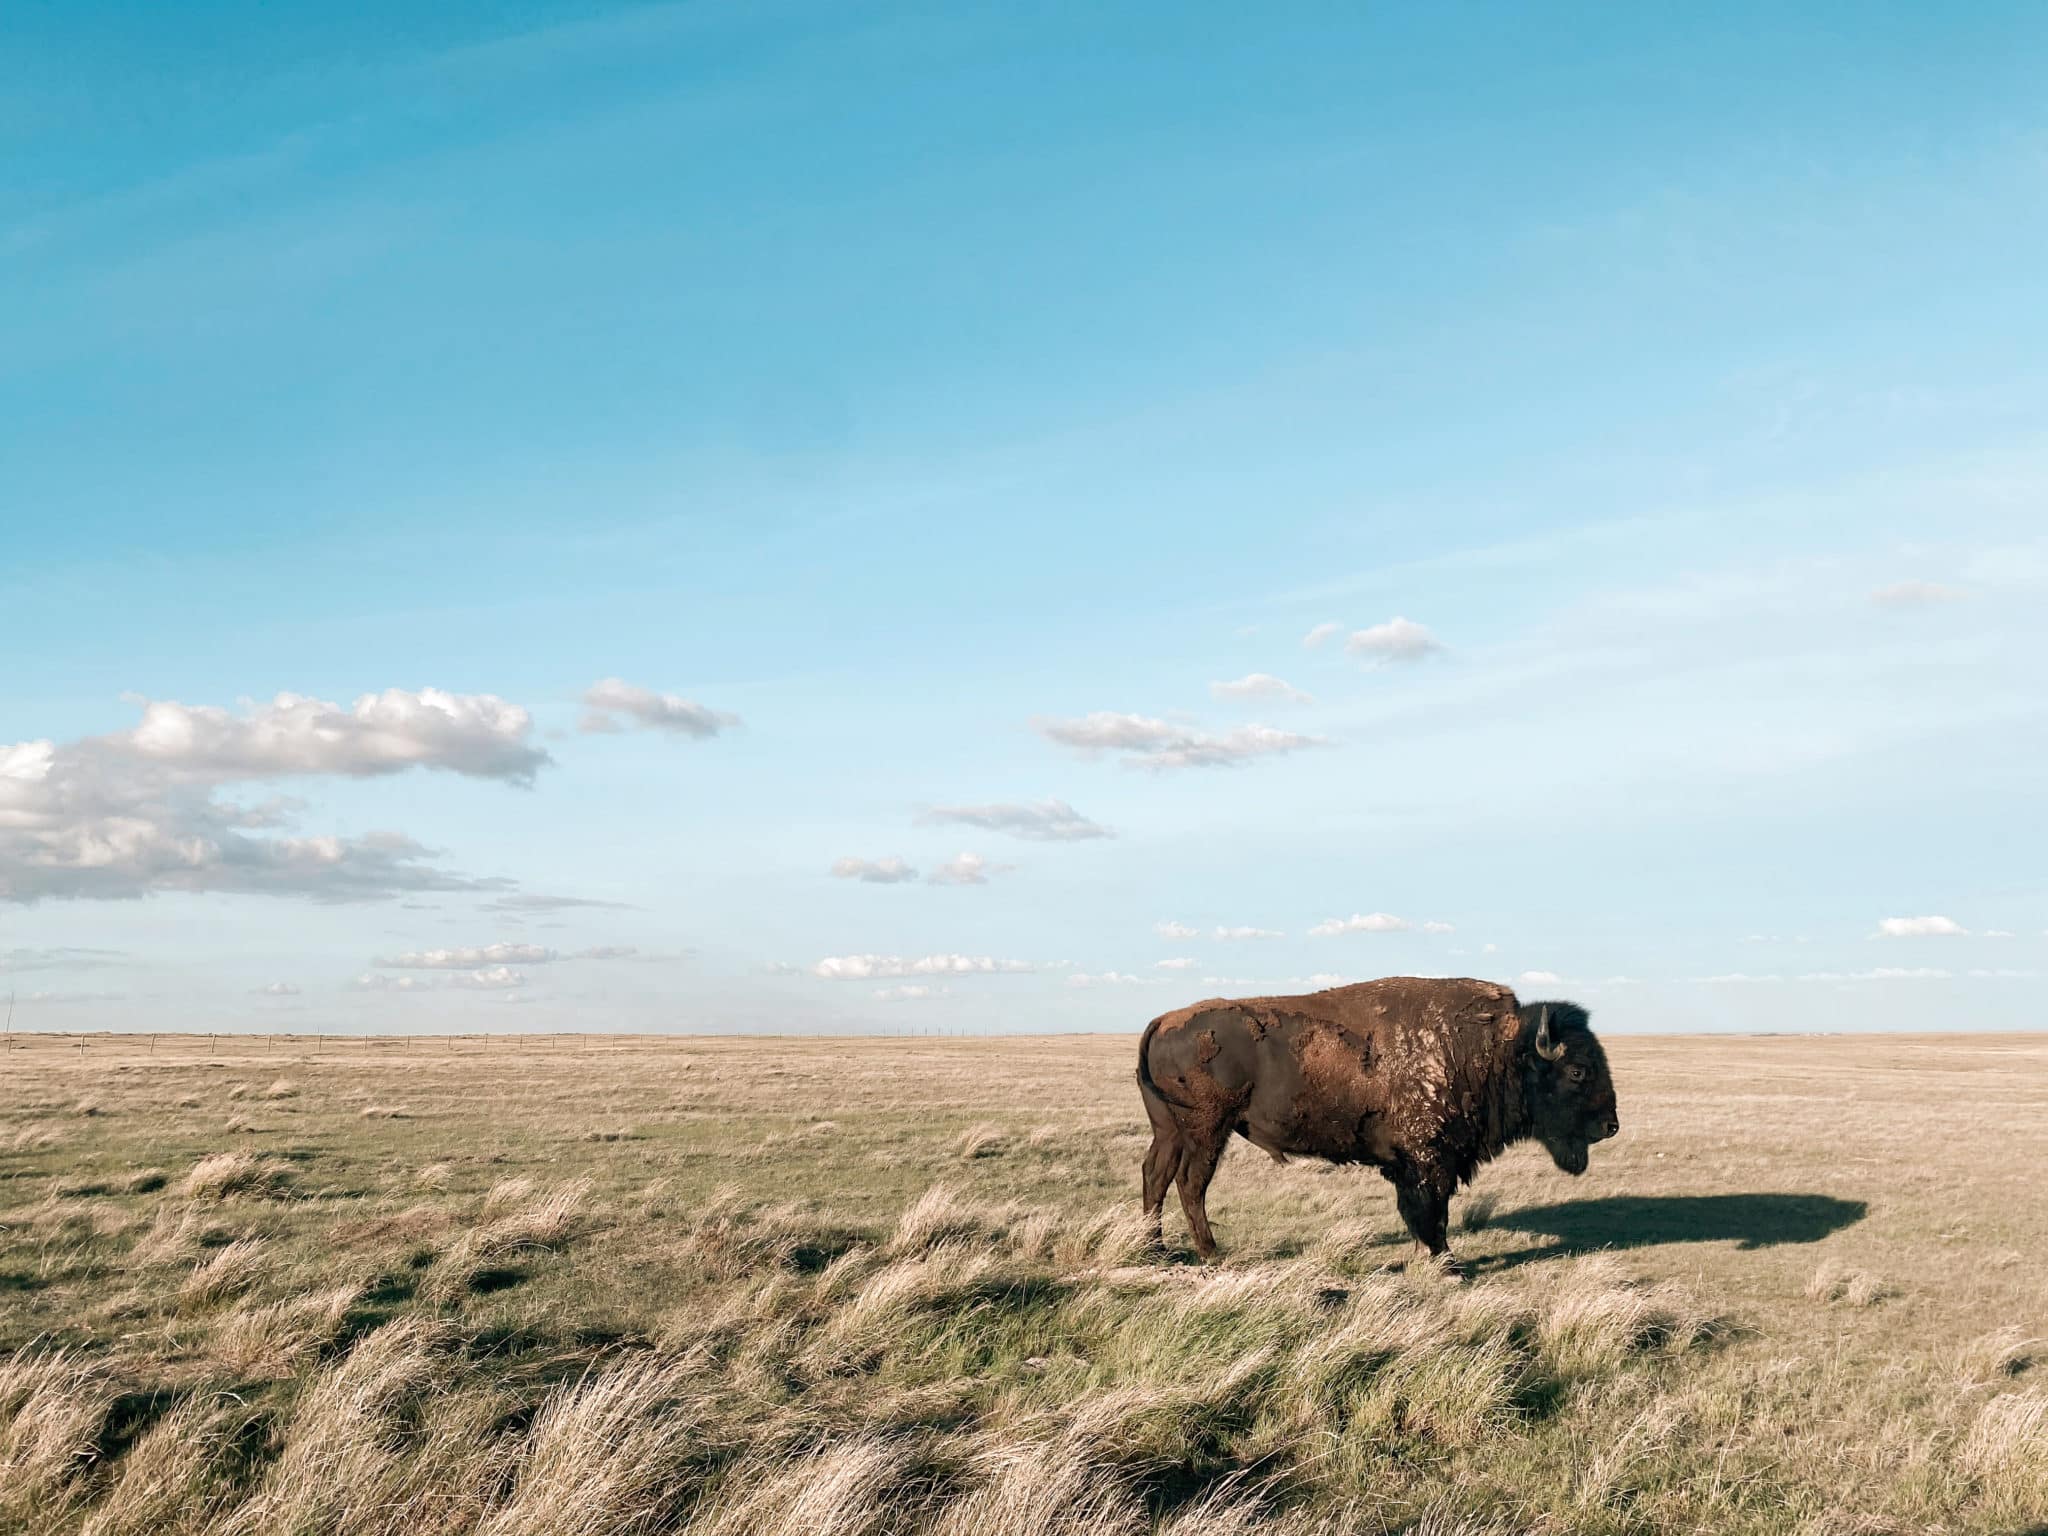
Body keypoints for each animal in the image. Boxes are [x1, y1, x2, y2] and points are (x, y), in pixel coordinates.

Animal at [1135, 976, 1619, 1269]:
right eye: (1578, 1070)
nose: (1610, 1125)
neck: (1497, 1050)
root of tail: (1162, 1020)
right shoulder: (1428, 1159)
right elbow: (1431, 1210)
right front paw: (1447, 1263)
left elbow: (1424, 1211)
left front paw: (1430, 1256)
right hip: (1206, 1130)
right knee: (1190, 1183)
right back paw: (1211, 1253)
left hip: (1170, 1131)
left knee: (1155, 1175)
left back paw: (1154, 1250)